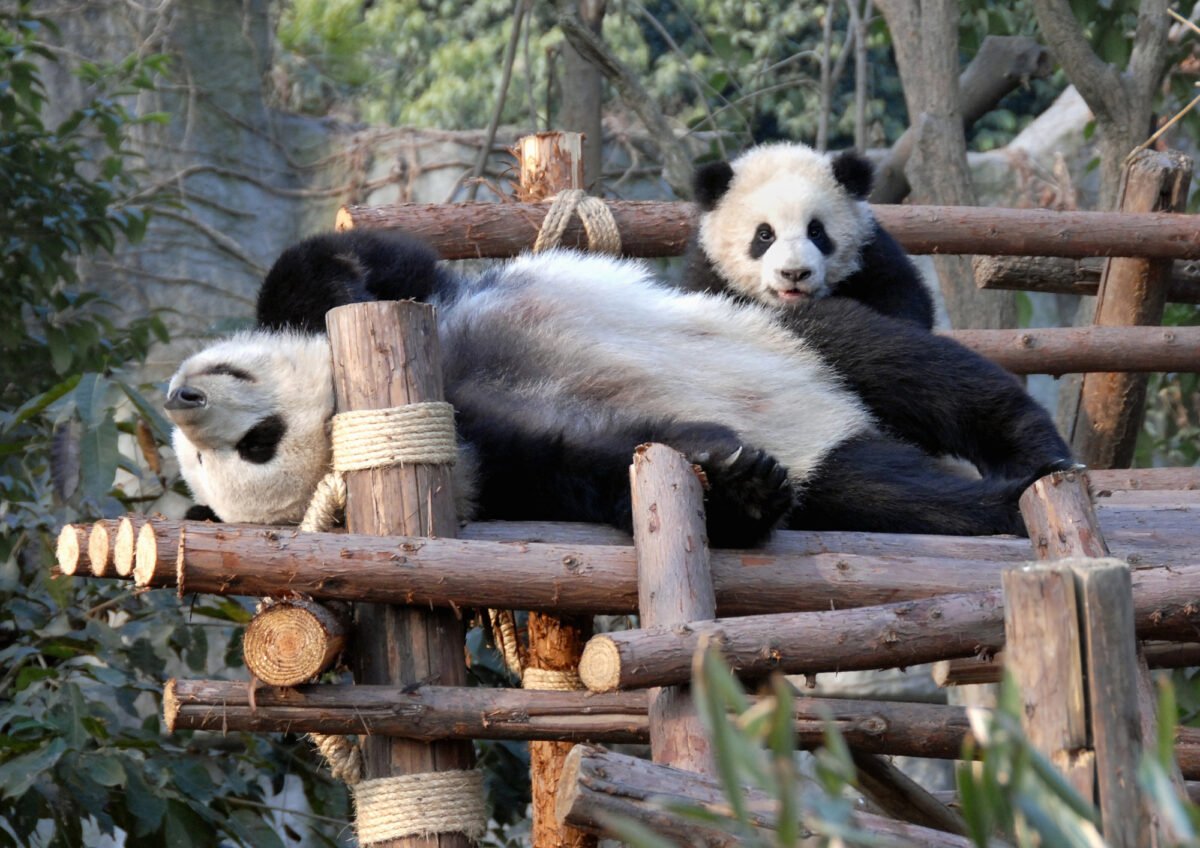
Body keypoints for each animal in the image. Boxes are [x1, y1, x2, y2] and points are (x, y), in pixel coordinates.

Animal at [165, 230, 1074, 547]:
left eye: (253, 440)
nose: (181, 399)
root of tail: (837, 419)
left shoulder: (444, 301)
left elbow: (367, 264)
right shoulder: (489, 461)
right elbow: (584, 464)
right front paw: (736, 477)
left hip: (784, 330)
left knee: (917, 368)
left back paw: (1035, 451)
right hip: (836, 464)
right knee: (892, 493)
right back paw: (1001, 497)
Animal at [682, 142, 935, 329]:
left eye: (816, 231)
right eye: (764, 235)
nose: (795, 273)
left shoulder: (871, 253)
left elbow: (902, 295)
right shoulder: (711, 273)